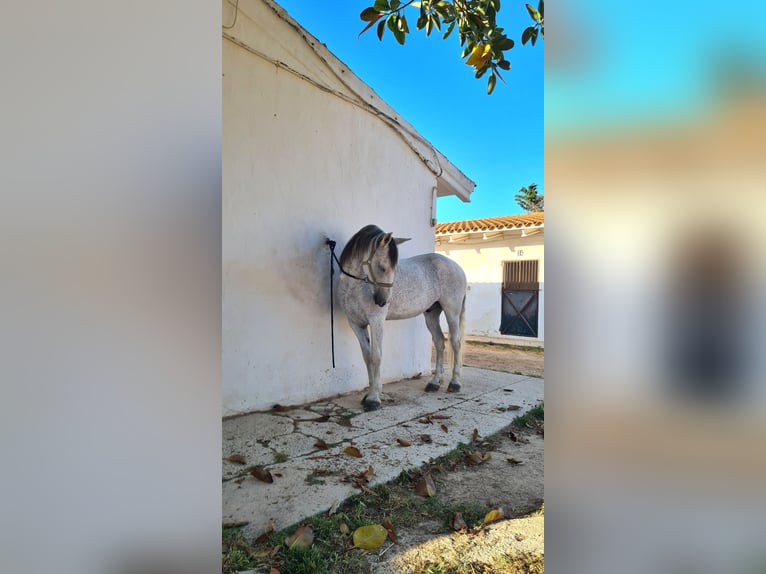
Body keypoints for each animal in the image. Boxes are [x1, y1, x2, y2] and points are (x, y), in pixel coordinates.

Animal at [338, 225, 468, 414]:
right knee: (439, 342)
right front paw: (368, 394)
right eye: (383, 267)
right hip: (431, 315)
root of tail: (457, 267)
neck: (354, 287)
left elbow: (376, 356)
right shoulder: (356, 324)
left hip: (452, 311)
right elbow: (367, 357)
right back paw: (434, 383)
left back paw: (455, 383)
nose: (382, 302)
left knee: (455, 343)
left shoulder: (376, 321)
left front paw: (373, 398)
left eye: (392, 268)